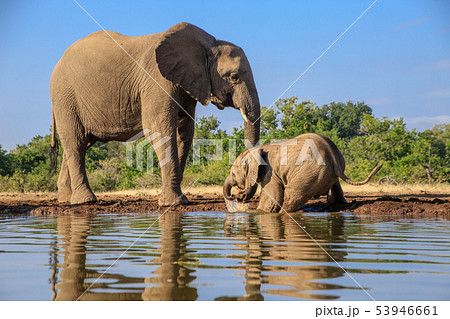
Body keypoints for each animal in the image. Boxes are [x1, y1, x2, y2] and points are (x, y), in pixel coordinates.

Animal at [50, 23, 260, 208]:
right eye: (234, 77)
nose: (239, 196)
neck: (209, 43)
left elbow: (184, 132)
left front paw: (178, 199)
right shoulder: (156, 80)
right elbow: (159, 129)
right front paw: (173, 203)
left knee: (78, 144)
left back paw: (66, 199)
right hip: (65, 96)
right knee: (75, 141)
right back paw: (85, 201)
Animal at [223, 134, 382, 214]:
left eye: (233, 173)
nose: (236, 196)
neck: (258, 149)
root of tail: (333, 156)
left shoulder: (271, 171)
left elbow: (271, 196)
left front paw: (259, 212)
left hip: (309, 173)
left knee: (291, 195)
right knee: (336, 184)